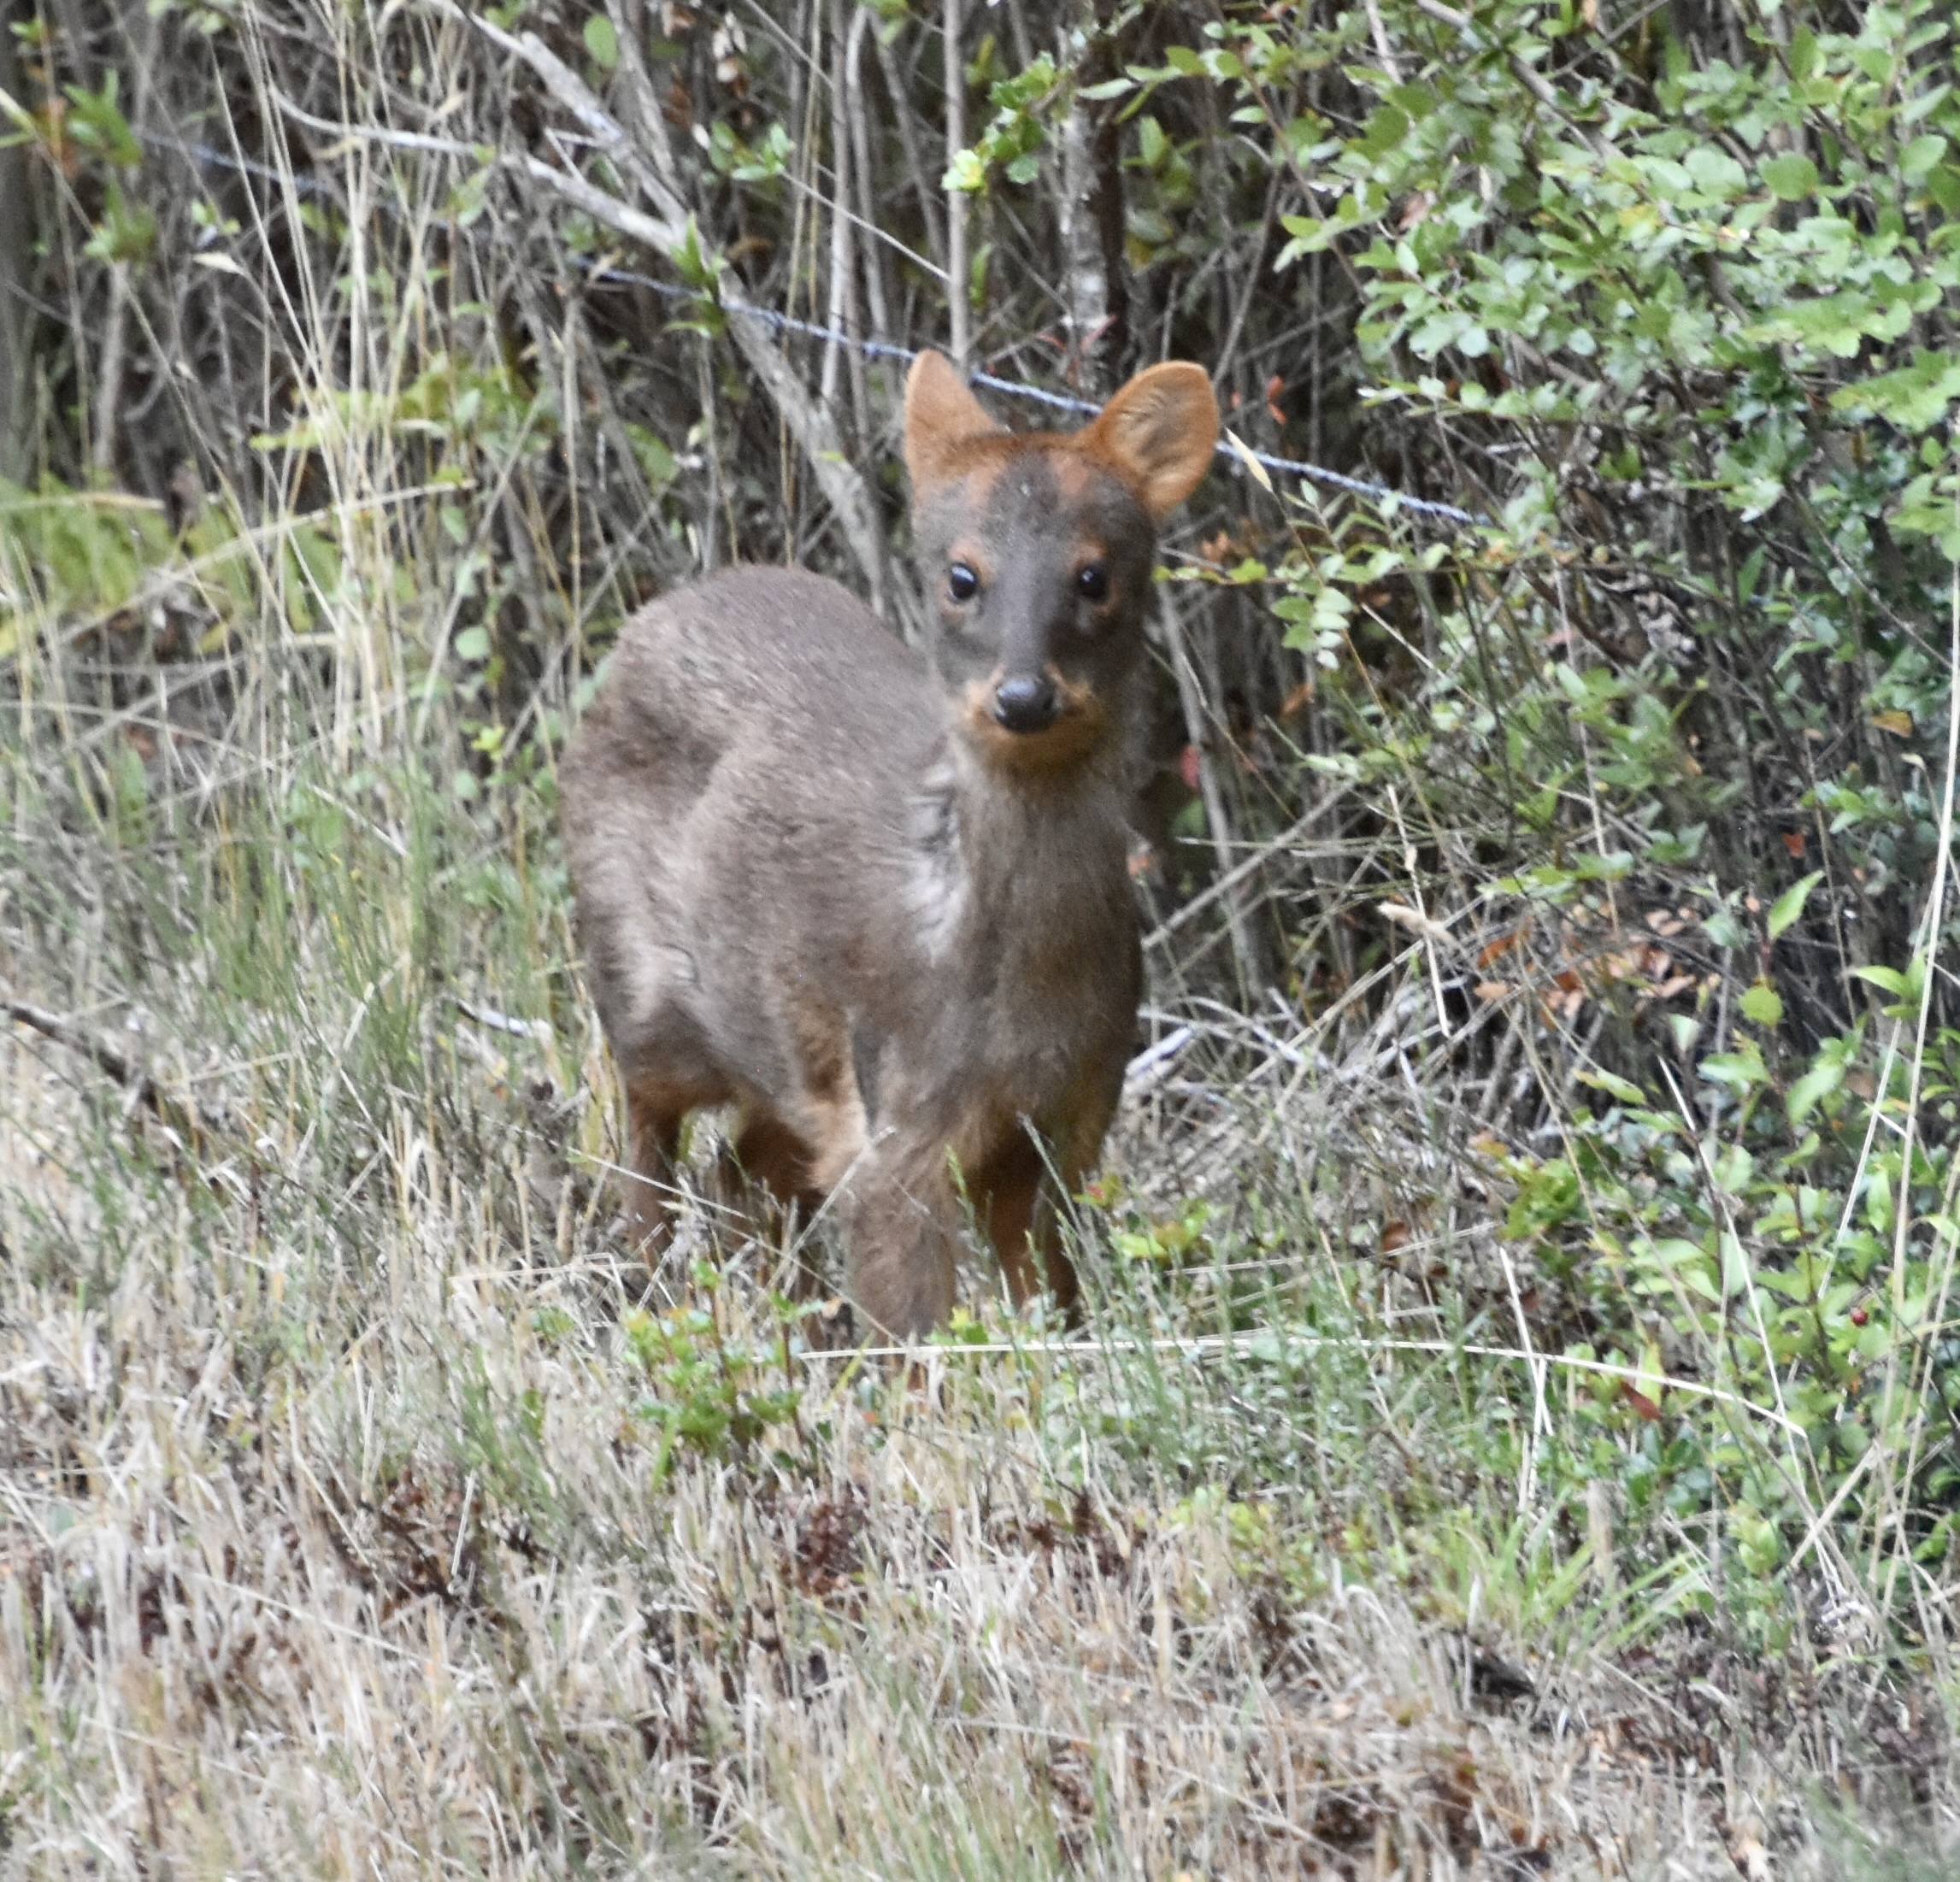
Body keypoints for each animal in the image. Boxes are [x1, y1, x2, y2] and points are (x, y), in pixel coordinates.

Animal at [560, 352, 1215, 1340]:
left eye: (1095, 576)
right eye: (961, 575)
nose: (1022, 696)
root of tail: (647, 621)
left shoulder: (1071, 1119)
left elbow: (1051, 1301)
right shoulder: (901, 1124)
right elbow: (912, 1334)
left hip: (780, 1070)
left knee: (742, 1172)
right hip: (634, 982)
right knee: (644, 1156)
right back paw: (655, 1305)